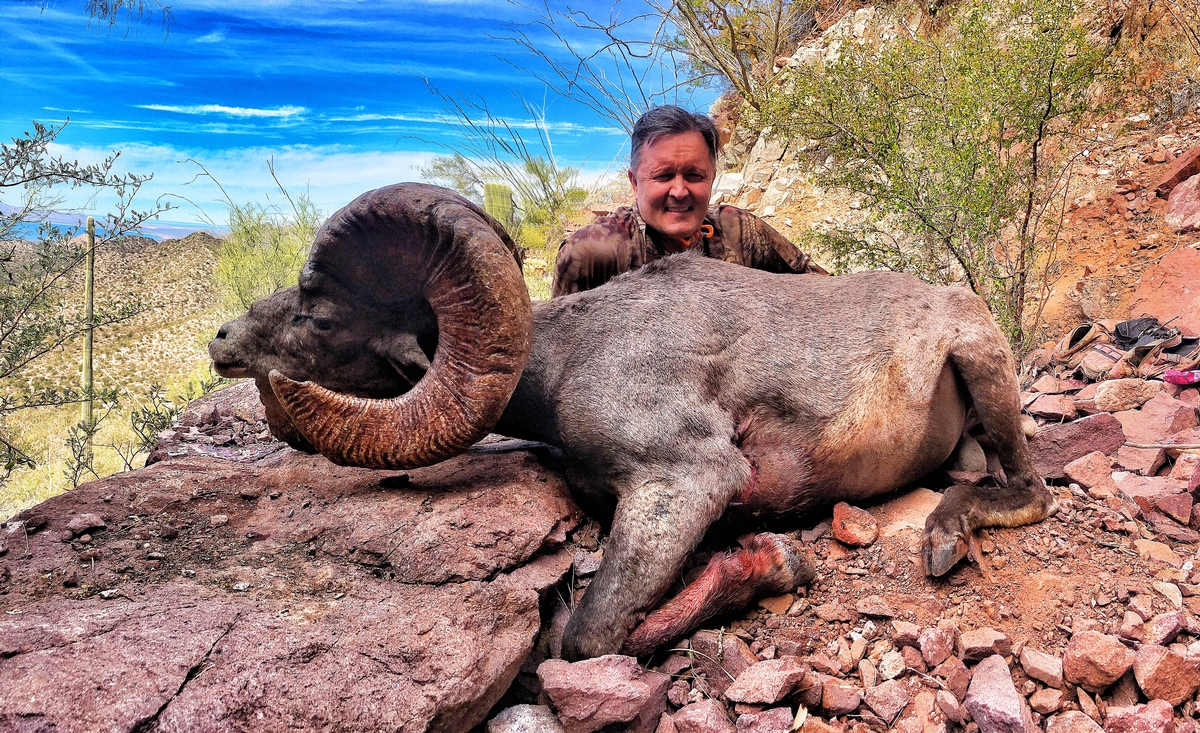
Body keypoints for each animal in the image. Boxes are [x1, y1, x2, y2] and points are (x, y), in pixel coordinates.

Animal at [209, 183, 1054, 661]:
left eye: (318, 317)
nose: (221, 341)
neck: (565, 359)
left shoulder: (687, 481)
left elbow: (583, 638)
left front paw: (773, 560)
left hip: (981, 358)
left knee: (1031, 490)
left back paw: (945, 536)